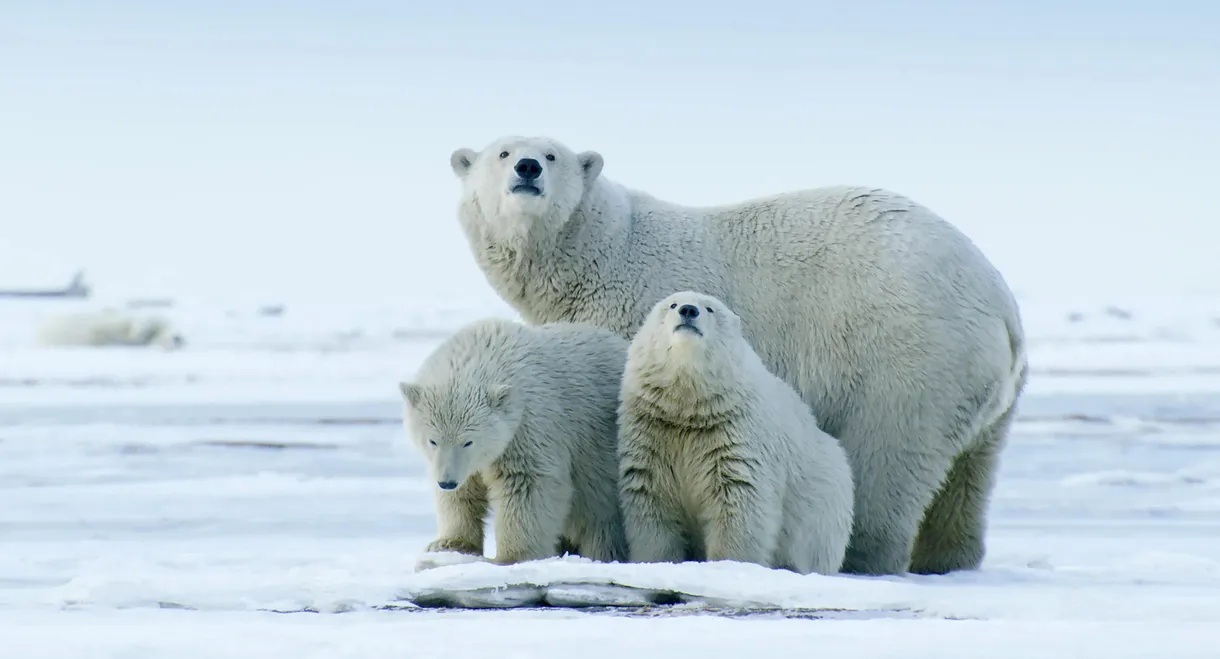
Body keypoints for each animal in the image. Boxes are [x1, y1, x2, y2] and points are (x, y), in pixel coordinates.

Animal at [400, 317, 629, 563]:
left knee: (601, 516)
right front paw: (449, 544)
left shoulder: (529, 425)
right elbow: (464, 491)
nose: (447, 482)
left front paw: (513, 556)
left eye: (468, 441)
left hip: (599, 452)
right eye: (432, 441)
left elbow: (526, 482)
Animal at [619, 290, 849, 573]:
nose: (688, 310)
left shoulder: (734, 436)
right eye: (672, 305)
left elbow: (738, 501)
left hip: (825, 508)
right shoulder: (654, 432)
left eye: (710, 308)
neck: (689, 409)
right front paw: (656, 562)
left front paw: (729, 565)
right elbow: (651, 499)